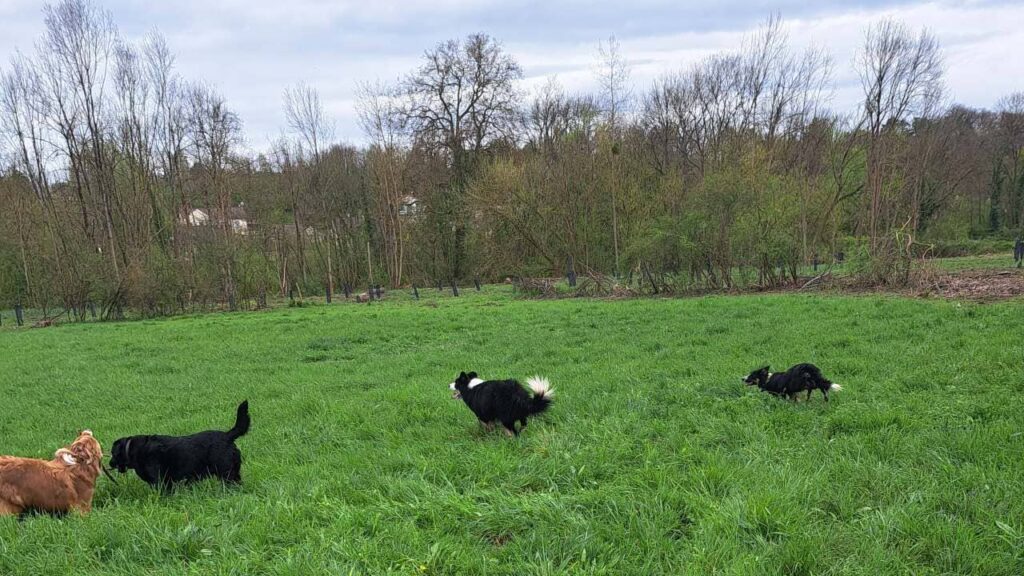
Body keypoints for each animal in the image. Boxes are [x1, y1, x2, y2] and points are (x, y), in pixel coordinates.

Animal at [109, 399, 250, 487]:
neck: (133, 449)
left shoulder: (161, 482)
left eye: (113, 453)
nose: (109, 463)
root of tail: (227, 436)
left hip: (227, 473)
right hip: (234, 473)